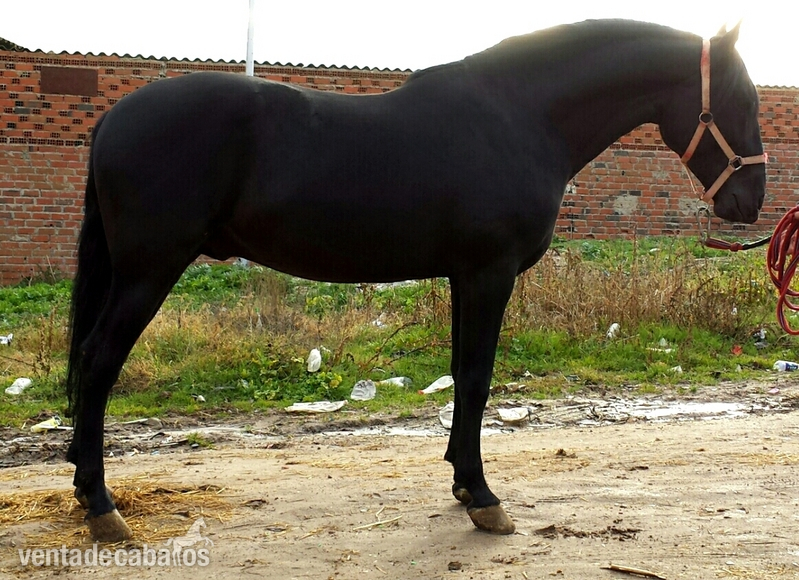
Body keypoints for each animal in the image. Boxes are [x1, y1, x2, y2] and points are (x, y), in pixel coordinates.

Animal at [64, 19, 766, 541]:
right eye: (743, 100)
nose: (752, 201)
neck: (519, 116)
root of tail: (114, 117)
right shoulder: (488, 273)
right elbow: (478, 377)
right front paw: (483, 497)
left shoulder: (464, 275)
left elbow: (460, 373)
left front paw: (461, 483)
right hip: (148, 271)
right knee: (97, 363)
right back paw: (102, 507)